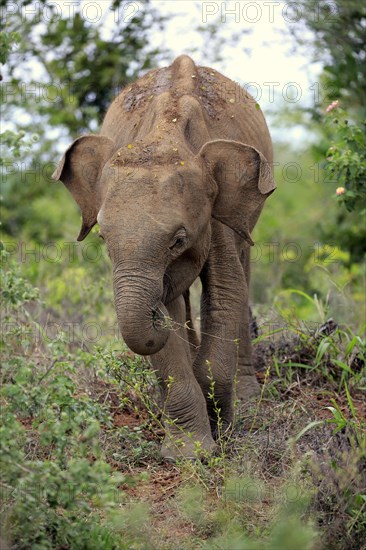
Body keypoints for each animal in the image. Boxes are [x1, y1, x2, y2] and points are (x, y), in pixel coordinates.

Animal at [52, 56, 274, 462]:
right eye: (103, 237)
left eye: (179, 240)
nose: (153, 312)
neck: (165, 134)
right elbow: (170, 331)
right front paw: (190, 454)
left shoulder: (215, 213)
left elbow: (226, 293)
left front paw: (223, 432)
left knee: (244, 269)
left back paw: (248, 397)